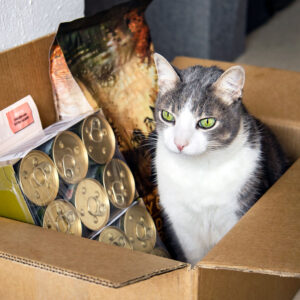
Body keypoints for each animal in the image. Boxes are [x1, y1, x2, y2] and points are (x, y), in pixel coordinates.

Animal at [152, 52, 288, 264]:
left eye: (207, 122)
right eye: (167, 115)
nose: (180, 143)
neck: (197, 169)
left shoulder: (237, 212)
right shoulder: (181, 222)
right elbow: (193, 257)